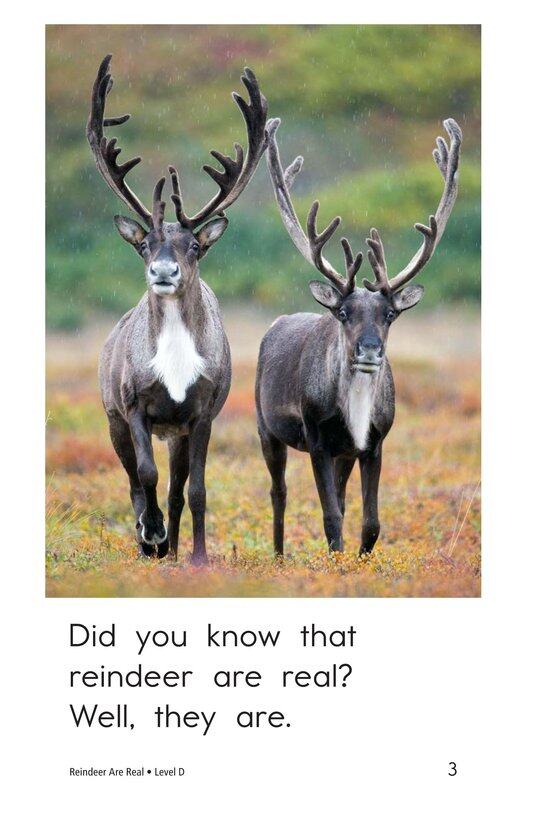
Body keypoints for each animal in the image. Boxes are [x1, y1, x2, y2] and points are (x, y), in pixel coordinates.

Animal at [87, 55, 268, 564]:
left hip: (177, 433)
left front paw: (198, 557)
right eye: (144, 243)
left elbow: (196, 491)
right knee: (134, 480)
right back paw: (150, 540)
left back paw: (170, 547)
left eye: (194, 246)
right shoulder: (133, 405)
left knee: (176, 488)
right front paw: (152, 533)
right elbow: (146, 477)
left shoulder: (200, 414)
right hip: (114, 420)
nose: (163, 271)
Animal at [256, 116, 462, 557]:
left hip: (344, 453)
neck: (356, 408)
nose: (370, 350)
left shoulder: (372, 443)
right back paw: (278, 555)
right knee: (278, 493)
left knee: (341, 497)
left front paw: (358, 560)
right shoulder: (317, 440)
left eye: (391, 314)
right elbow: (330, 516)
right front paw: (337, 559)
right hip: (268, 429)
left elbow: (369, 522)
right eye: (343, 313)